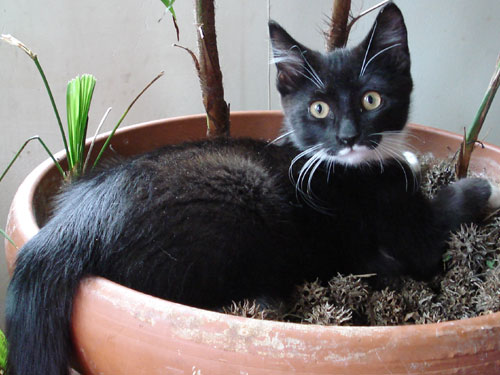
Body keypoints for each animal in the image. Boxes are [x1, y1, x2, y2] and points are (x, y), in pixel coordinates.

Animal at [5, 5, 498, 375]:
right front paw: (482, 187)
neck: (353, 167)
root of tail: (70, 226)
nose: (348, 136)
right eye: (319, 108)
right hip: (243, 189)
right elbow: (437, 230)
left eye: (371, 99)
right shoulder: (402, 231)